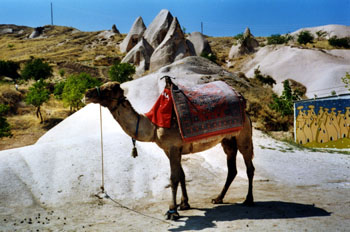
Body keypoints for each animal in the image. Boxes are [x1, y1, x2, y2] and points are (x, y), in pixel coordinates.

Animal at [85, 80, 254, 219]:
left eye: (108, 89)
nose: (87, 94)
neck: (154, 126)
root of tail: (243, 104)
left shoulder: (173, 146)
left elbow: (173, 178)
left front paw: (172, 211)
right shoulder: (170, 149)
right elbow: (181, 175)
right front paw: (184, 204)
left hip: (244, 135)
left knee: (249, 167)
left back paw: (248, 199)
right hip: (228, 139)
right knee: (232, 168)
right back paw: (218, 198)